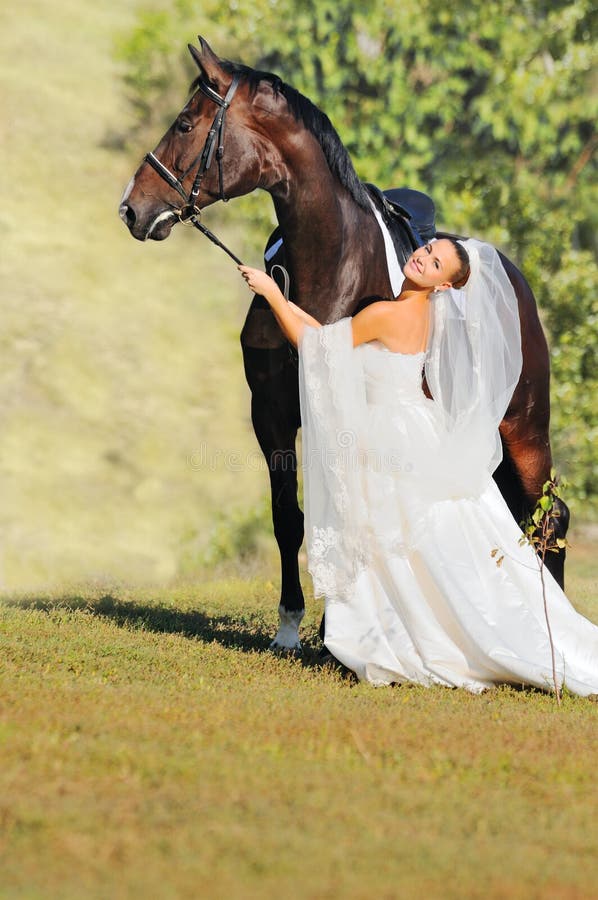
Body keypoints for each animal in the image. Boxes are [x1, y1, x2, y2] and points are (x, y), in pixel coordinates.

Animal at [119, 37, 569, 652]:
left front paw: (344, 630)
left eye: (186, 123)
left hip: (523, 427)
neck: (331, 269)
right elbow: (289, 517)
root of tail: (513, 283)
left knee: (550, 515)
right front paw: (291, 626)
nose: (131, 208)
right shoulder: (272, 415)